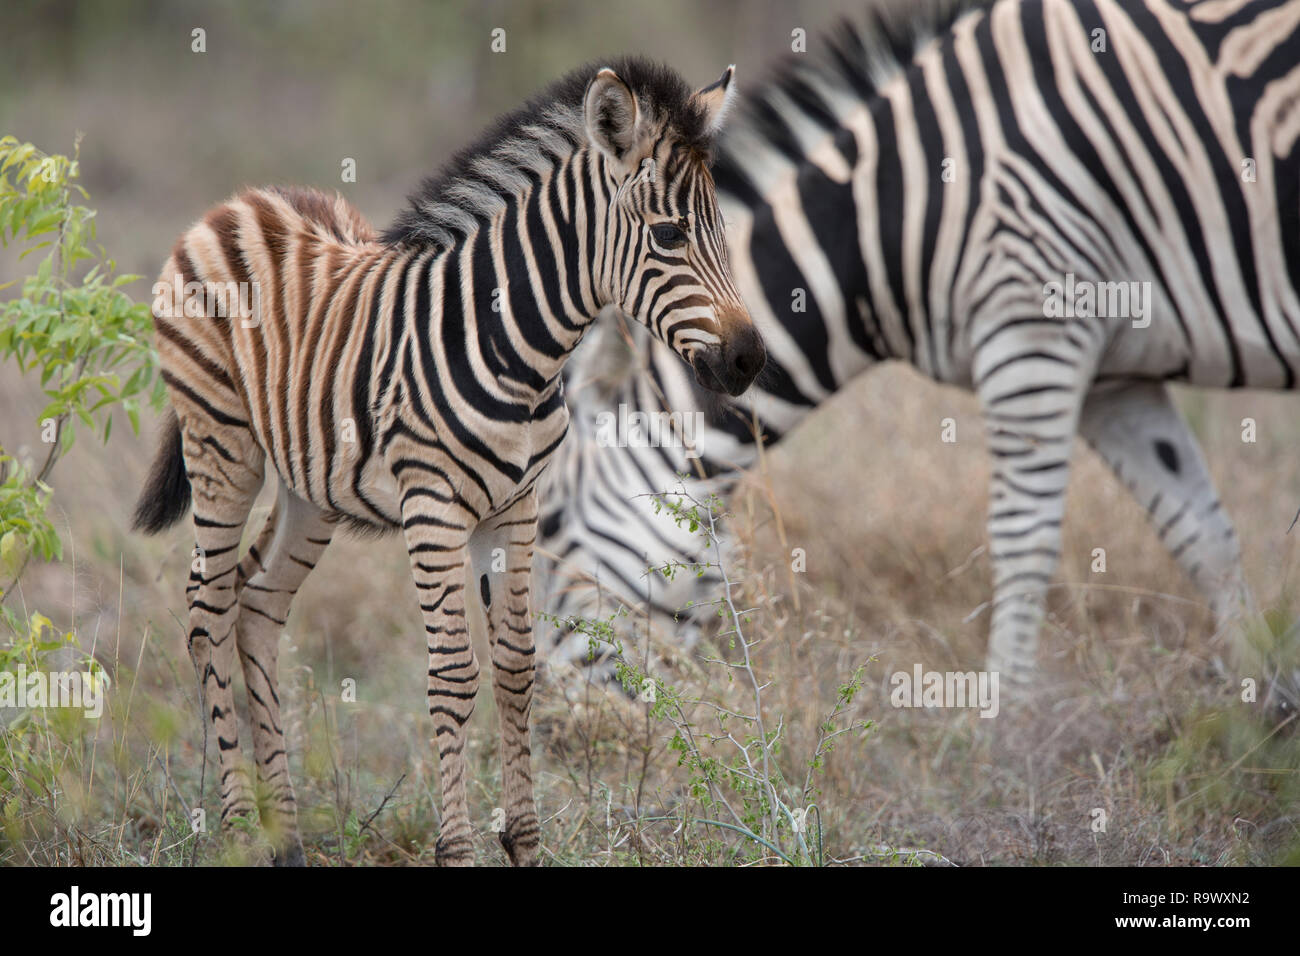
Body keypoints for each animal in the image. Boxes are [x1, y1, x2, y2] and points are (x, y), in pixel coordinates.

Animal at [129, 57, 759, 868]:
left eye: (720, 231)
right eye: (670, 235)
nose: (749, 360)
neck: (518, 349)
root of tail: (239, 201)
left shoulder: (517, 505)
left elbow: (518, 667)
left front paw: (524, 844)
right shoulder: (432, 505)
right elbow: (455, 674)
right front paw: (456, 849)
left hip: (310, 485)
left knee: (258, 605)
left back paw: (286, 837)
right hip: (222, 444)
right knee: (207, 608)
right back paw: (240, 829)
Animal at [535, 0, 1300, 707]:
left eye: (549, 527)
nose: (557, 729)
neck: (891, 211)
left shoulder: (1032, 329)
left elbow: (1022, 541)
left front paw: (1004, 724)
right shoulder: (1115, 381)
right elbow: (1202, 534)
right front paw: (1259, 710)